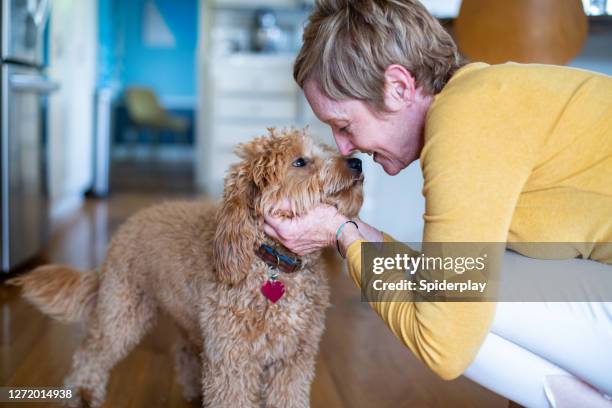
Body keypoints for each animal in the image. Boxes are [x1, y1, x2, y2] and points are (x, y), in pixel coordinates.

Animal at [8, 129, 364, 408]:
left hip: (188, 318)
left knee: (182, 350)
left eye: (327, 148)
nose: (357, 162)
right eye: (300, 162)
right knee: (91, 352)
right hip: (122, 311)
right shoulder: (232, 361)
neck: (271, 264)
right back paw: (82, 393)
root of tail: (127, 226)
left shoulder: (293, 360)